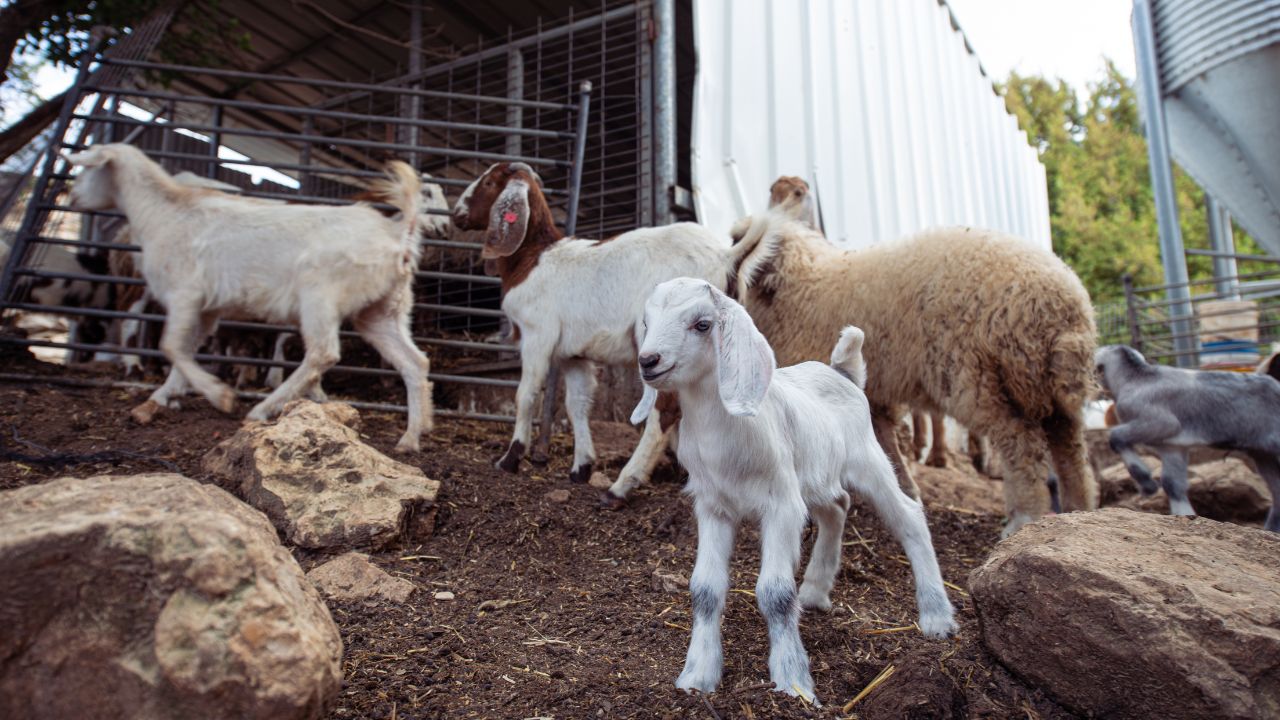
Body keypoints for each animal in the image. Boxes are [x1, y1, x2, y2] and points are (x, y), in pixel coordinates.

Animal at [65, 143, 433, 451]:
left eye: (85, 169)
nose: (71, 200)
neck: (165, 212)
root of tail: (397, 235)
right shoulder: (207, 308)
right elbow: (186, 348)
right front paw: (162, 396)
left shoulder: (185, 293)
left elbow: (170, 346)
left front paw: (220, 395)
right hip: (384, 308)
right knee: (414, 362)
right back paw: (412, 437)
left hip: (320, 295)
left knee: (323, 353)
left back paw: (262, 409)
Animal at [451, 161, 732, 495]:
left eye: (489, 182)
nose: (456, 213)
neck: (535, 258)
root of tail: (724, 256)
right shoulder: (573, 354)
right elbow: (577, 405)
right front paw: (581, 467)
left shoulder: (537, 335)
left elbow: (526, 395)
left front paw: (510, 459)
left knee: (664, 410)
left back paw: (621, 486)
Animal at [631, 277, 956, 702]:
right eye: (647, 321)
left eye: (702, 324)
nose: (648, 360)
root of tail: (842, 371)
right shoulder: (713, 506)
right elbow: (704, 589)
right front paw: (698, 675)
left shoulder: (781, 504)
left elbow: (774, 593)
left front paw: (793, 681)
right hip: (814, 477)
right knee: (837, 508)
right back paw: (815, 592)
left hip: (868, 461)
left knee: (909, 517)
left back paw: (937, 616)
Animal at [1096, 345, 1280, 531]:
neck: (1136, 379)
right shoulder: (1172, 446)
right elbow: (1172, 484)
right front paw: (1184, 514)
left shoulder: (1162, 423)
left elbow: (1116, 436)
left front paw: (1147, 483)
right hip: (1263, 454)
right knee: (1276, 489)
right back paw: (1270, 530)